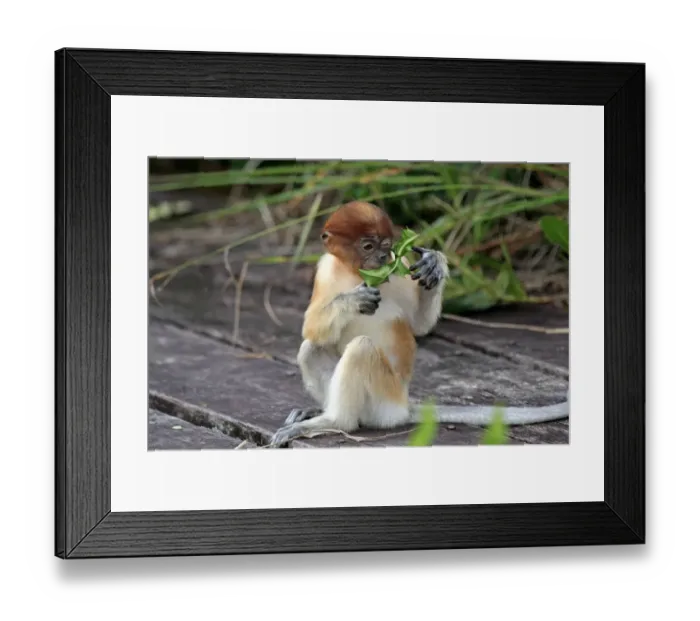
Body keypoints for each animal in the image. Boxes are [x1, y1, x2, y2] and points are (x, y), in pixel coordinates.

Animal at [269, 201, 569, 447]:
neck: (354, 272)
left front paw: (433, 264)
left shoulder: (398, 263)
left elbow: (419, 324)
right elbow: (311, 328)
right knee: (312, 347)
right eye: (368, 246)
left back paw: (333, 421)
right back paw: (323, 413)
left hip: (385, 401)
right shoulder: (326, 270)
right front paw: (355, 300)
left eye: (386, 245)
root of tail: (403, 407)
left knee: (360, 349)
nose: (382, 258)